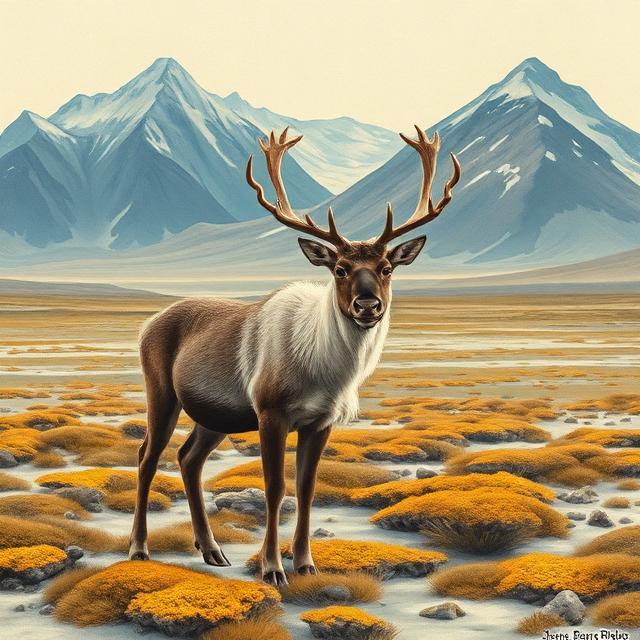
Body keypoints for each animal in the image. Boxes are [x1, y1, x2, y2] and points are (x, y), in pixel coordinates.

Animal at [128, 125, 460, 586]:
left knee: (188, 458)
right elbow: (275, 489)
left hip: (214, 416)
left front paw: (305, 563)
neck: (324, 374)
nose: (368, 305)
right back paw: (139, 548)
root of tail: (147, 324)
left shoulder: (321, 421)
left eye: (387, 268)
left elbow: (306, 488)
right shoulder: (271, 411)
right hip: (160, 391)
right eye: (339, 268)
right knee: (147, 456)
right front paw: (271, 568)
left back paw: (212, 550)